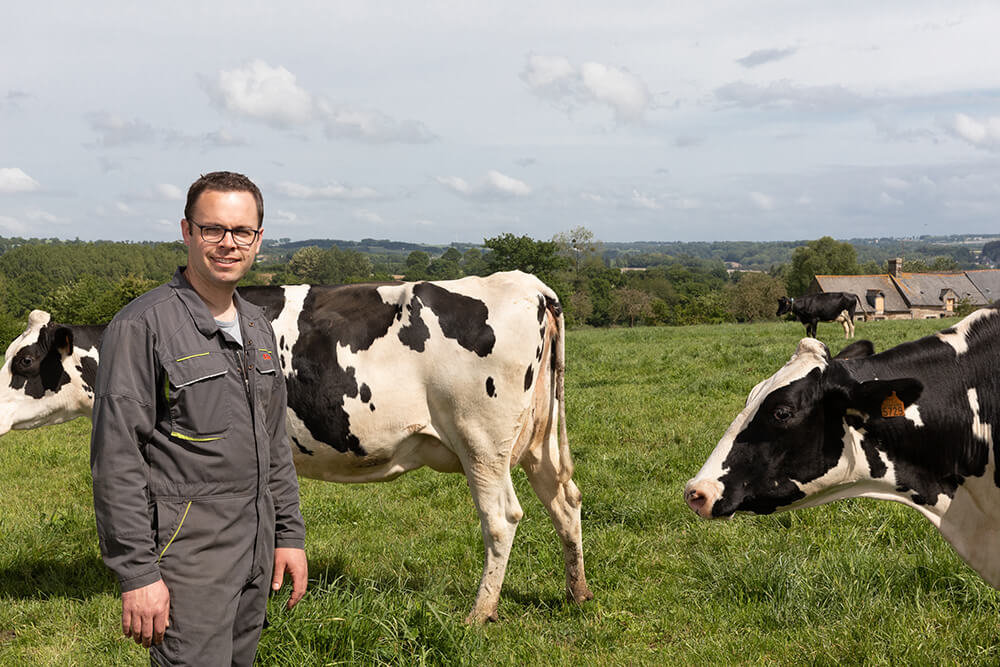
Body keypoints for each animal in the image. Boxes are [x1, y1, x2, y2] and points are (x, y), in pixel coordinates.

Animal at [0, 272, 588, 628]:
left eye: (24, 363)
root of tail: (527, 284)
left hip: (481, 442)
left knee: (501, 518)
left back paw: (479, 613)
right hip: (535, 442)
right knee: (566, 502)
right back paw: (576, 594)